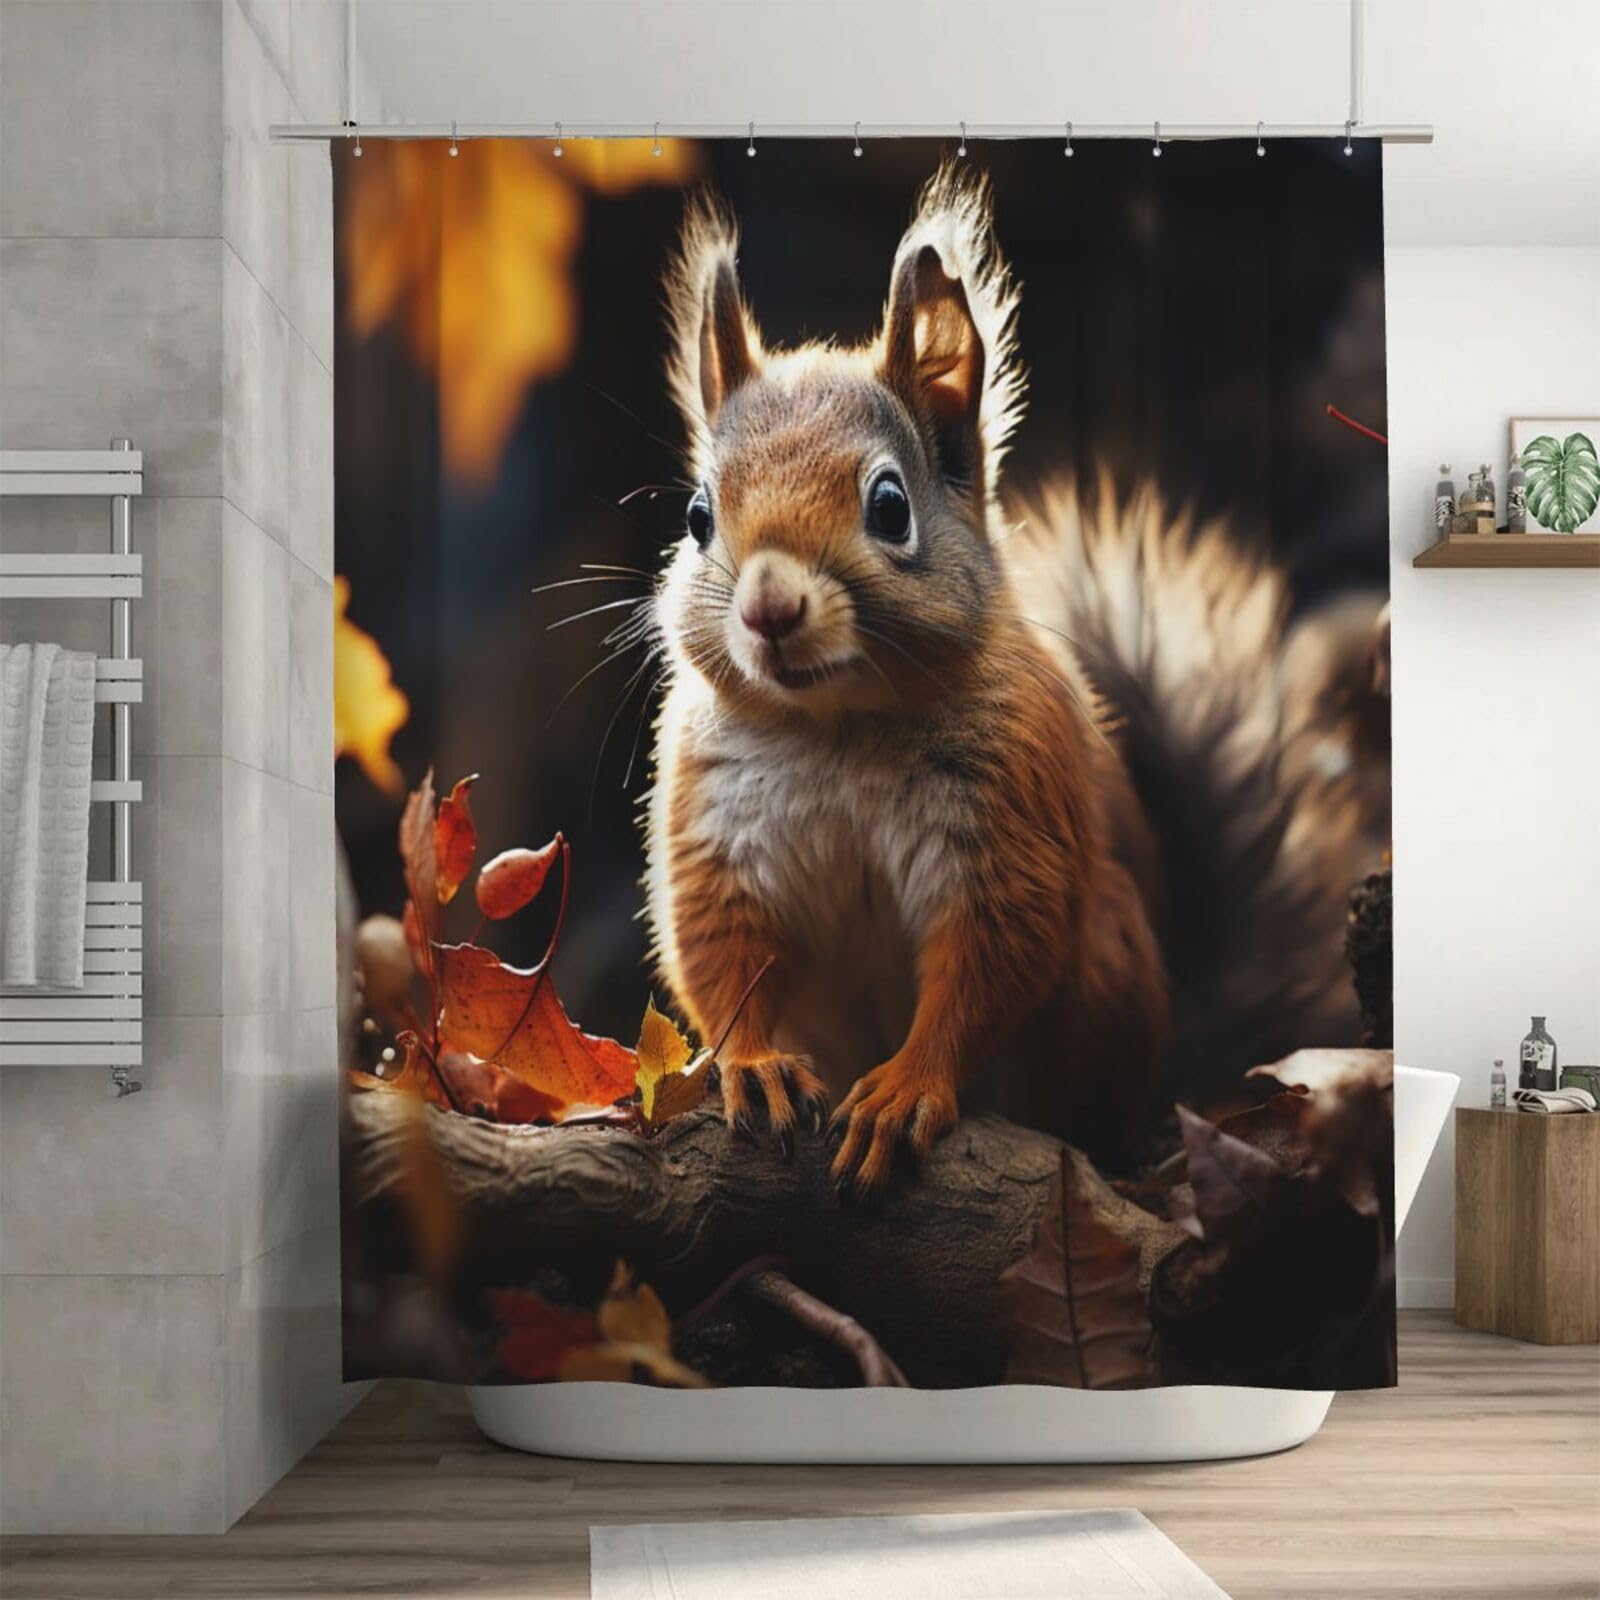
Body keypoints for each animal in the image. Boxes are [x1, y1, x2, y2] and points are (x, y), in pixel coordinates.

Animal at [642, 165, 1378, 1195]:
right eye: (698, 516)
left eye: (889, 505)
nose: (769, 609)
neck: (837, 727)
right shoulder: (717, 826)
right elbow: (721, 952)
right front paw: (752, 1065)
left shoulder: (1006, 817)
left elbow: (988, 962)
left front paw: (906, 1087)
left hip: (1106, 976)